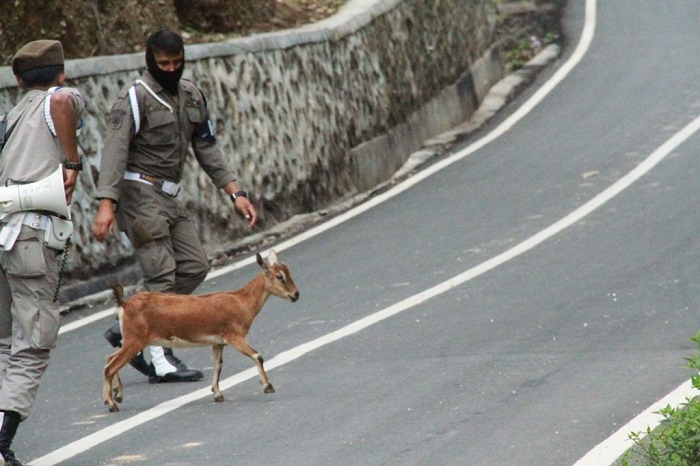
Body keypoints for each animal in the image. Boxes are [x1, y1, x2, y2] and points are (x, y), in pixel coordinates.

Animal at [102, 249, 300, 414]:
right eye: (279, 276)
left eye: (288, 272)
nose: (296, 295)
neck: (242, 303)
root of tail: (124, 305)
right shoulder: (234, 335)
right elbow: (257, 355)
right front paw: (268, 386)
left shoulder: (218, 342)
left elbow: (217, 365)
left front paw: (218, 394)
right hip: (135, 339)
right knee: (110, 366)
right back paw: (111, 403)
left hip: (132, 339)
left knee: (110, 358)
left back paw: (118, 394)